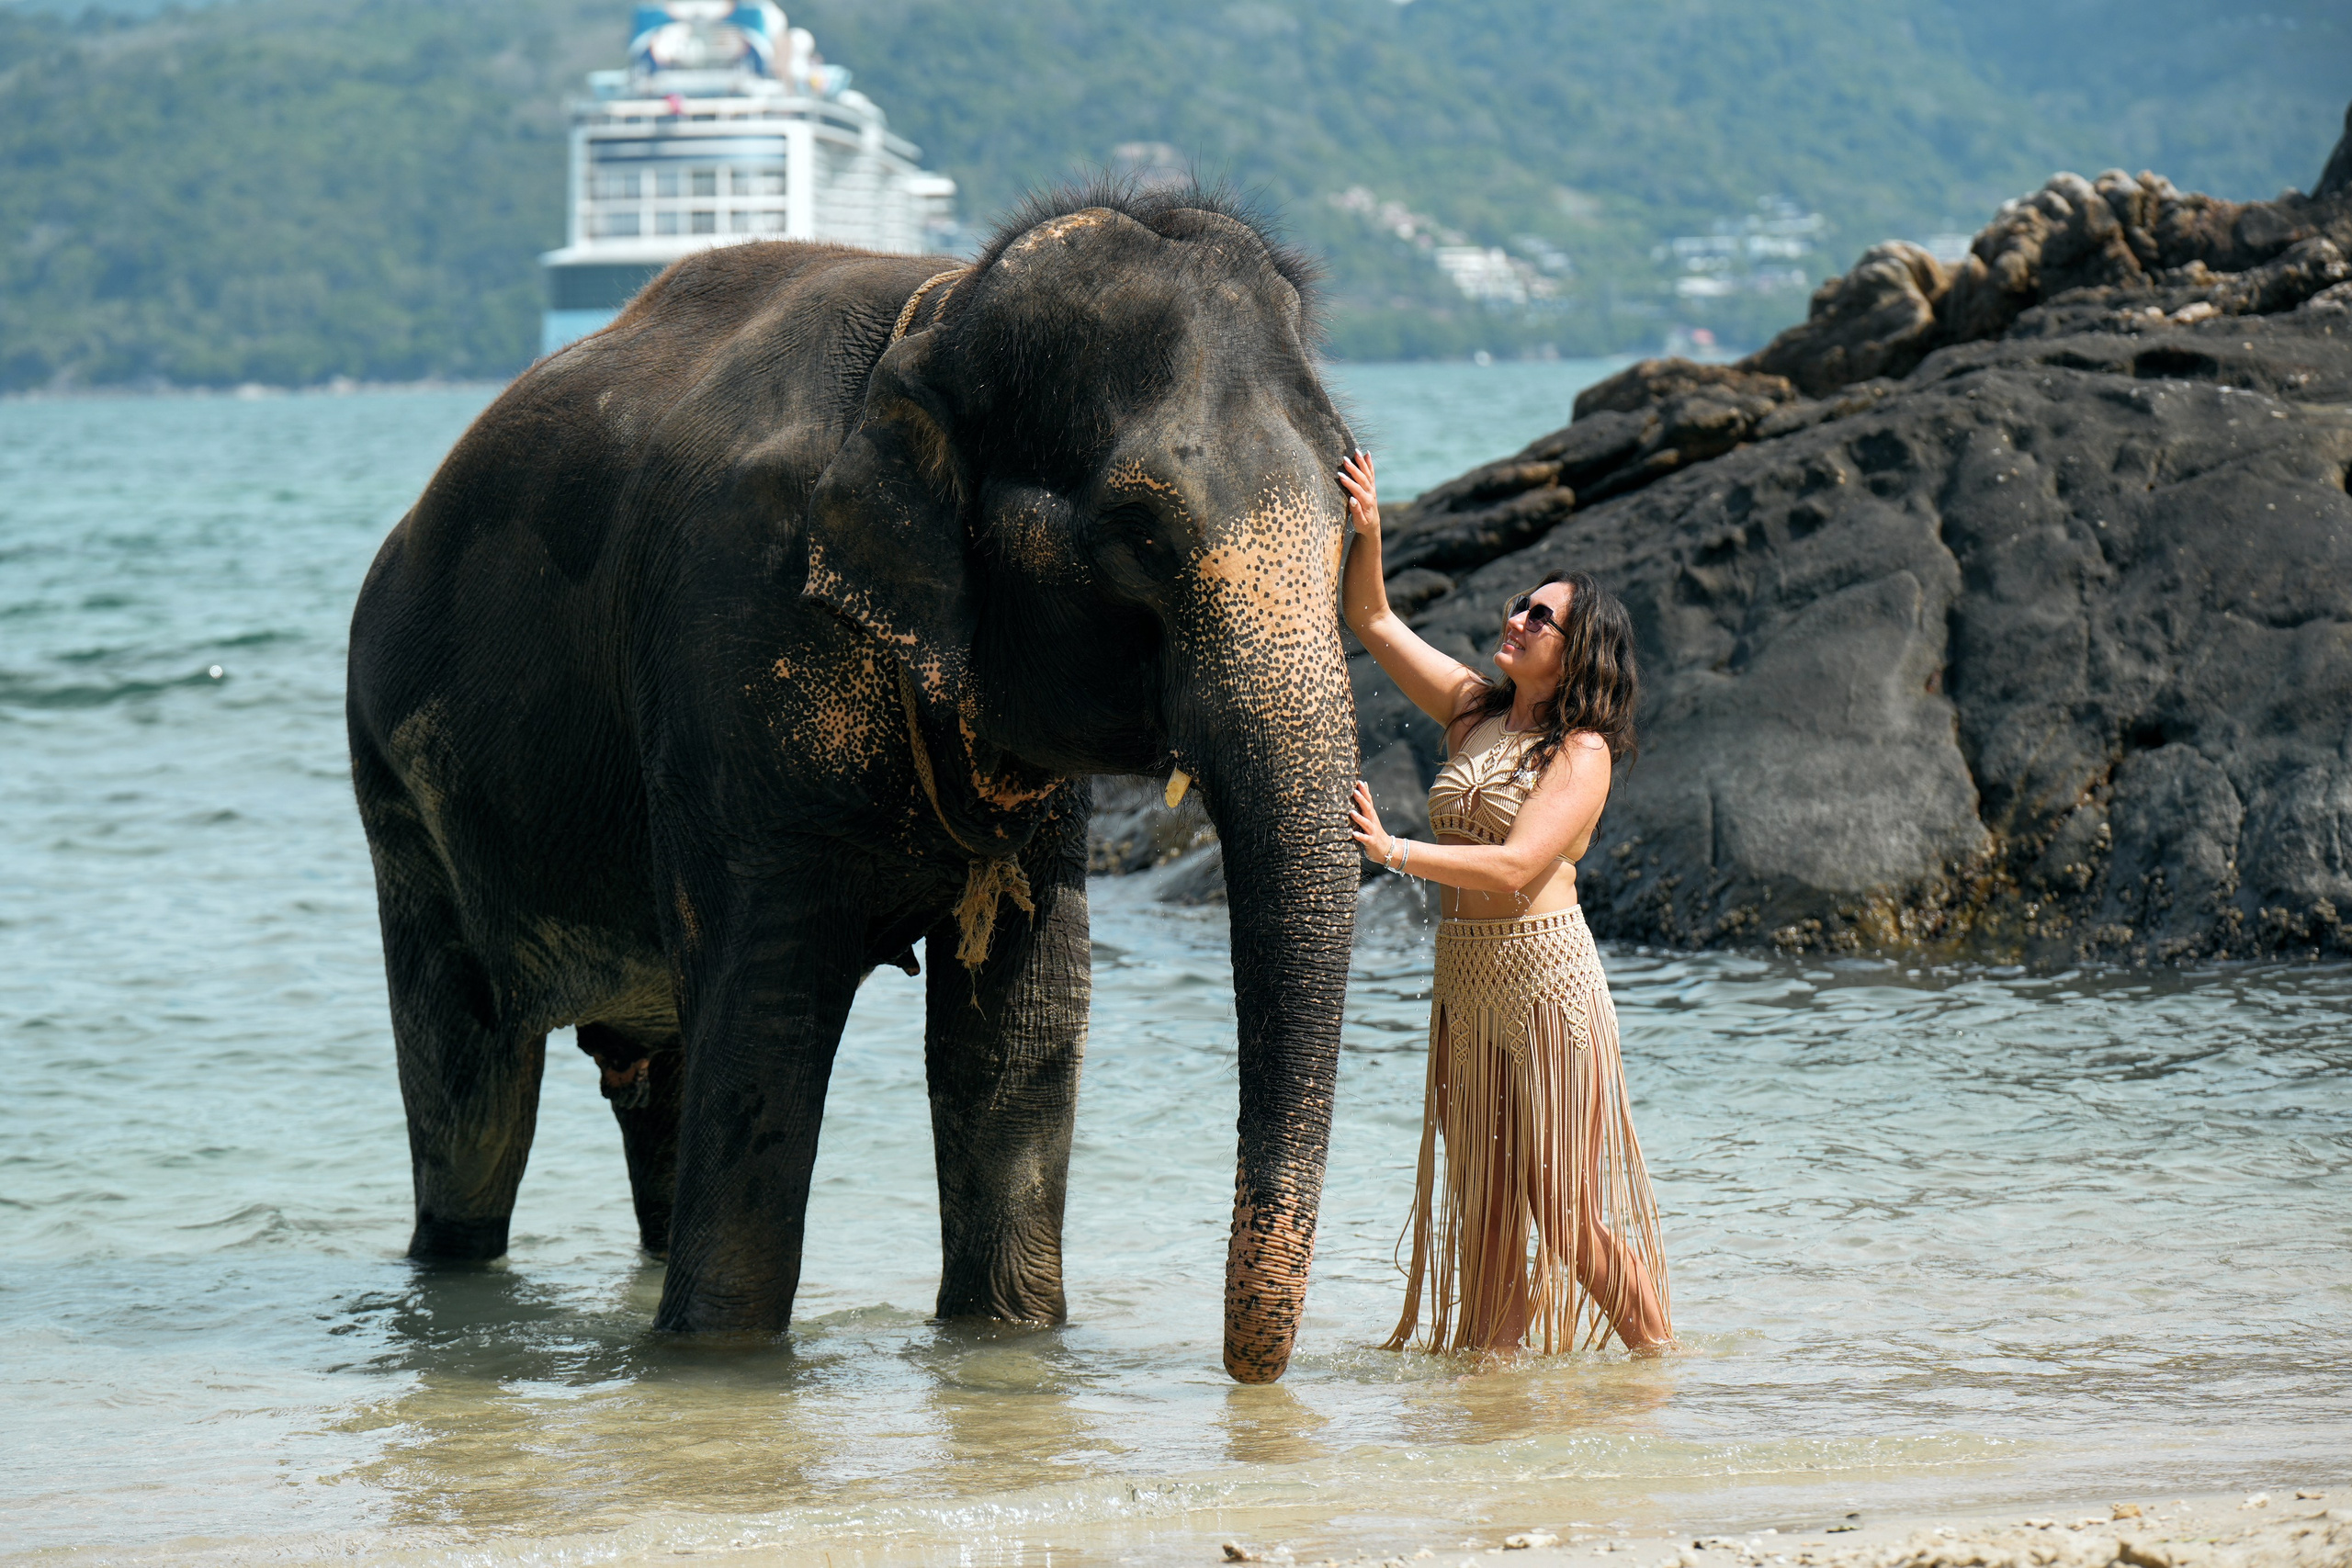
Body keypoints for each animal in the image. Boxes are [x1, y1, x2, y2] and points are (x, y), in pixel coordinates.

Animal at [344, 185, 1361, 1383]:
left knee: (653, 1078)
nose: (1244, 1373)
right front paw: (718, 1364)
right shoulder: (734, 641)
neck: (936, 320)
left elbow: (1019, 1023)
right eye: (1137, 532)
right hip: (397, 794)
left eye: (1352, 512)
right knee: (471, 1087)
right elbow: (768, 1017)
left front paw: (1005, 1343)